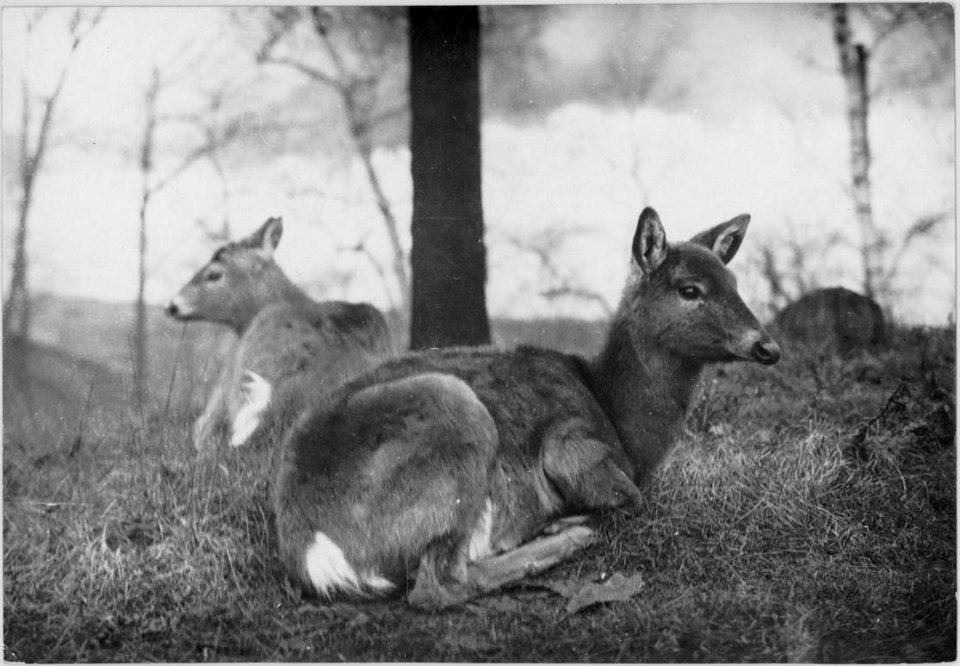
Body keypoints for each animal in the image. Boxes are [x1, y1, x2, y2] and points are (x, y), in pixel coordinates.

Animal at [270, 208, 780, 608]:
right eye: (690, 289)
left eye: (734, 282)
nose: (768, 346)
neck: (621, 420)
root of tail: (310, 545)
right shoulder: (569, 442)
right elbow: (633, 497)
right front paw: (574, 517)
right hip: (455, 415)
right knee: (439, 584)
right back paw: (555, 533)